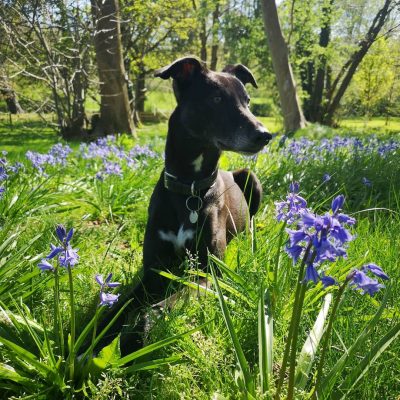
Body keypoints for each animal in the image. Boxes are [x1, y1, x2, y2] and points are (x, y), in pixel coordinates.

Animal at [99, 56, 272, 354]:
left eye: (247, 101)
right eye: (216, 98)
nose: (265, 134)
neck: (189, 190)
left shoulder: (210, 273)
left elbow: (162, 304)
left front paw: (136, 336)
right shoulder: (153, 271)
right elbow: (118, 306)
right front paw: (87, 338)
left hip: (250, 176)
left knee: (251, 220)